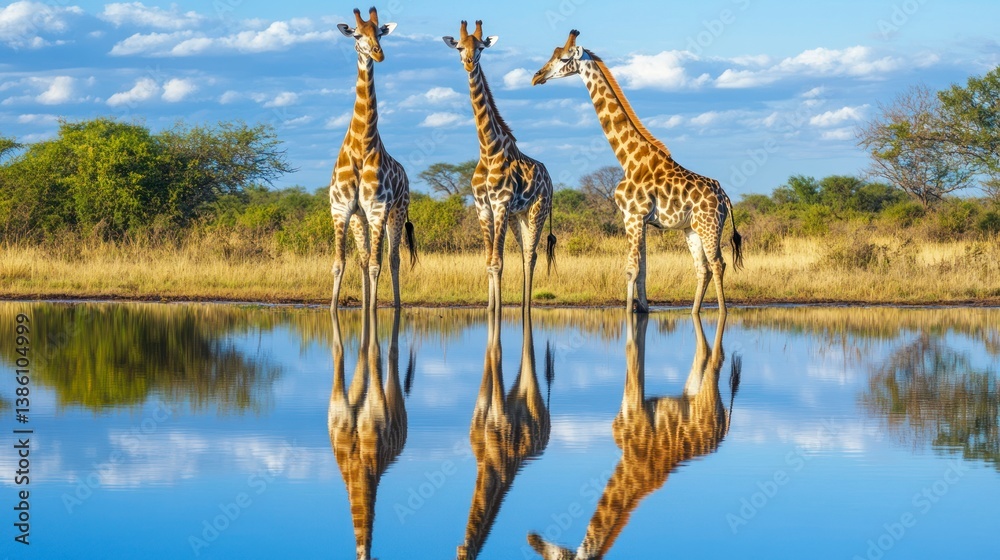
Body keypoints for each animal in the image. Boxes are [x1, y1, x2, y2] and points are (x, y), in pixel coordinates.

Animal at [331, 7, 417, 312]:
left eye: (380, 32)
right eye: (357, 34)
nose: (378, 54)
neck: (361, 147)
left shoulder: (378, 209)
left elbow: (376, 265)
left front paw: (372, 311)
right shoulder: (342, 209)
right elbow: (340, 264)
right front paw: (334, 309)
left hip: (396, 212)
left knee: (392, 259)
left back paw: (396, 305)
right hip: (361, 217)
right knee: (363, 257)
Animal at [443, 20, 556, 313]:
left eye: (481, 47)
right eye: (459, 47)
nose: (469, 62)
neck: (488, 150)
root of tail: (550, 179)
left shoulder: (501, 204)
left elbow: (497, 262)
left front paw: (499, 310)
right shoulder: (483, 207)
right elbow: (488, 262)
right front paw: (490, 308)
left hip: (538, 210)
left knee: (531, 254)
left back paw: (527, 306)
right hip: (520, 215)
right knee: (527, 253)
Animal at [457, 308, 552, 560]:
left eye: (467, 556)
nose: (463, 545)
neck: (488, 461)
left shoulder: (500, 410)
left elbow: (496, 352)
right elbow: (489, 352)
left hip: (531, 389)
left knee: (529, 357)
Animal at [527, 312, 740, 559]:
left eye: (553, 557)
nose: (532, 538)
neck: (630, 459)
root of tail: (724, 426)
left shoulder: (636, 402)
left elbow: (631, 351)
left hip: (707, 393)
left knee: (717, 357)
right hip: (693, 388)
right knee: (705, 354)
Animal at [532, 30, 743, 315]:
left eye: (564, 58)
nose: (536, 77)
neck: (629, 159)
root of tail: (725, 199)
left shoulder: (632, 216)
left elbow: (631, 269)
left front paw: (628, 311)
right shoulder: (640, 220)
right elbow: (642, 270)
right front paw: (642, 306)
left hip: (710, 225)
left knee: (718, 264)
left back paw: (722, 311)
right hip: (691, 229)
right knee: (703, 268)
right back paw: (693, 311)